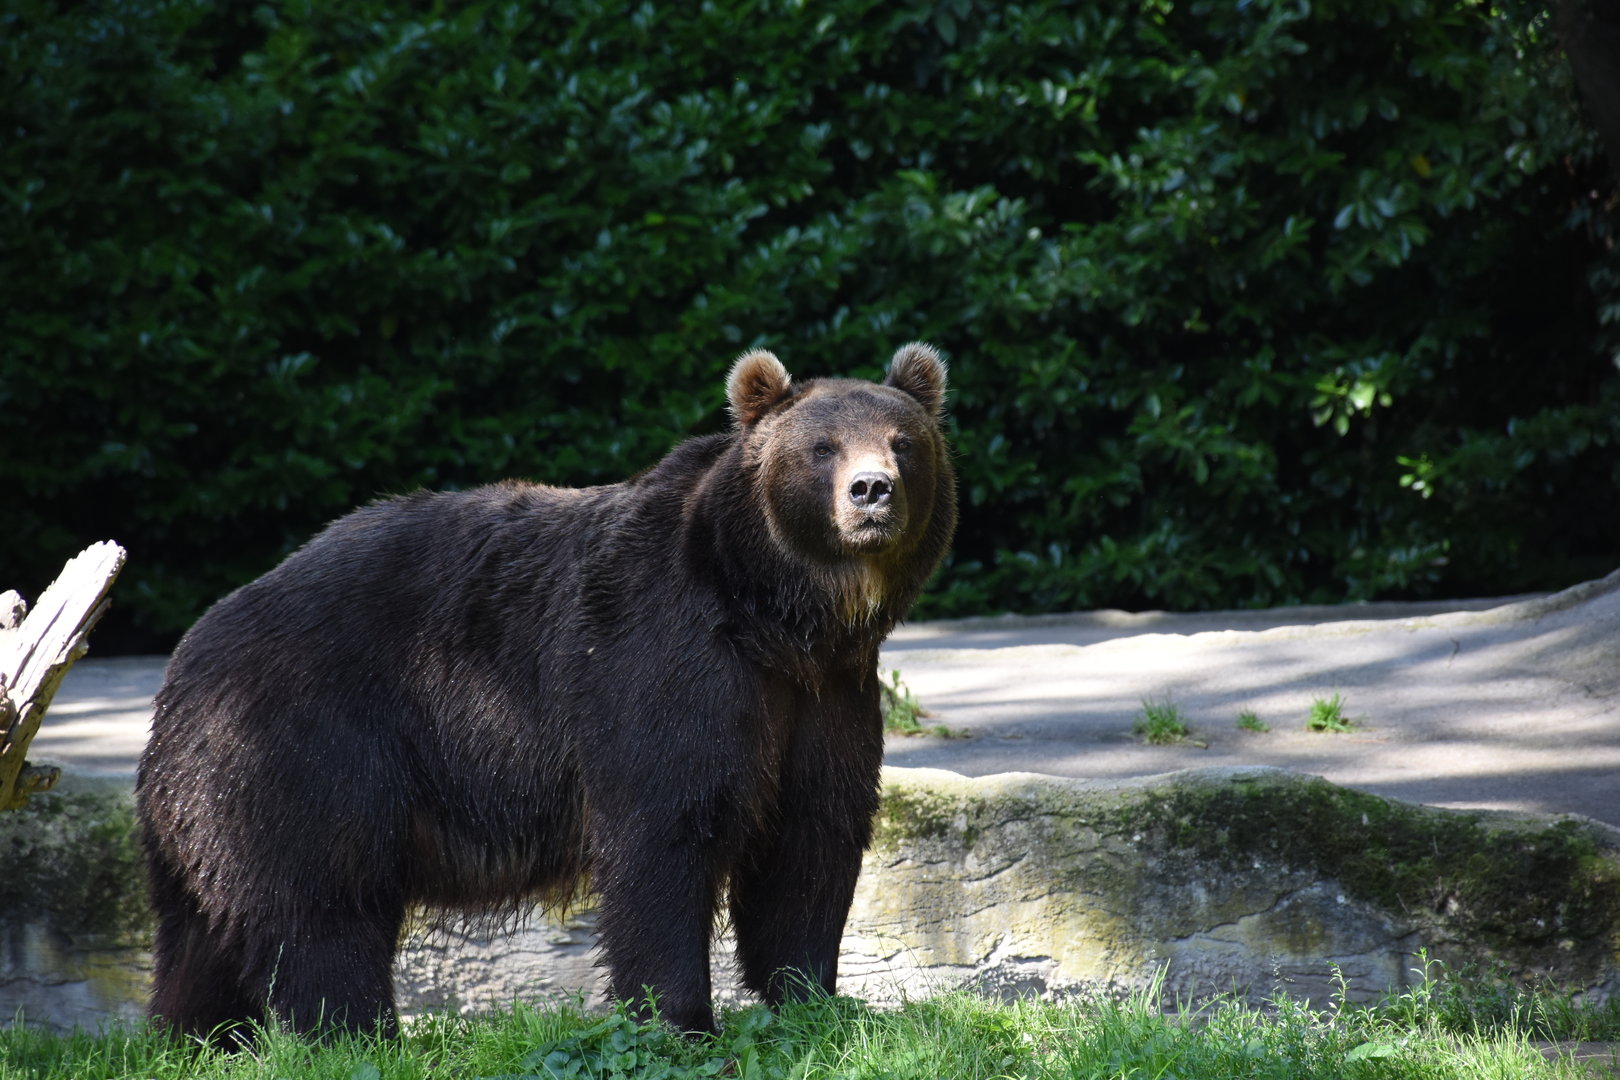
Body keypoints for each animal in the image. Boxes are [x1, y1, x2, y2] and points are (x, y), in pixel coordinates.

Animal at [135, 343, 956, 1040]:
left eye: (902, 442)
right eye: (822, 447)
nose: (871, 491)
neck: (778, 615)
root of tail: (184, 662)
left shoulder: (824, 694)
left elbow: (812, 837)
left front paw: (816, 999)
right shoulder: (668, 666)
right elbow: (666, 833)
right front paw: (681, 1017)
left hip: (211, 800)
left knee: (203, 932)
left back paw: (199, 1034)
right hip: (303, 744)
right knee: (323, 904)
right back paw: (355, 1032)